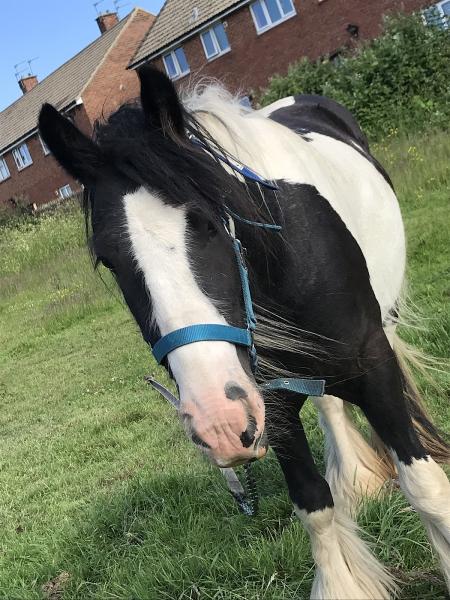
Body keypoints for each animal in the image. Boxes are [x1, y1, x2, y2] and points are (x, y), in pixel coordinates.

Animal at [39, 67, 450, 600]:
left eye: (211, 223)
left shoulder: (373, 365)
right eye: (109, 259)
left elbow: (423, 484)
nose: (217, 423)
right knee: (328, 406)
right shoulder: (271, 405)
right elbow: (313, 506)